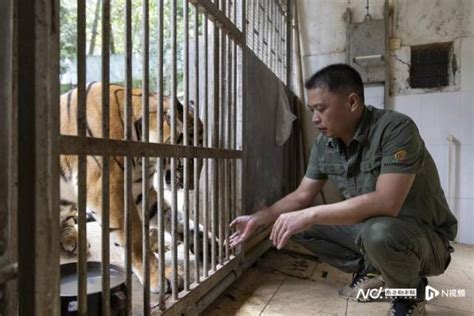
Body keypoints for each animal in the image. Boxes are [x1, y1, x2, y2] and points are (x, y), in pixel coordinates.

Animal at [59, 80, 204, 292]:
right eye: (191, 159)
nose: (192, 186)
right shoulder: (108, 189)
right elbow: (134, 237)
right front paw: (160, 277)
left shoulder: (141, 193)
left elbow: (181, 220)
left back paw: (73, 238)